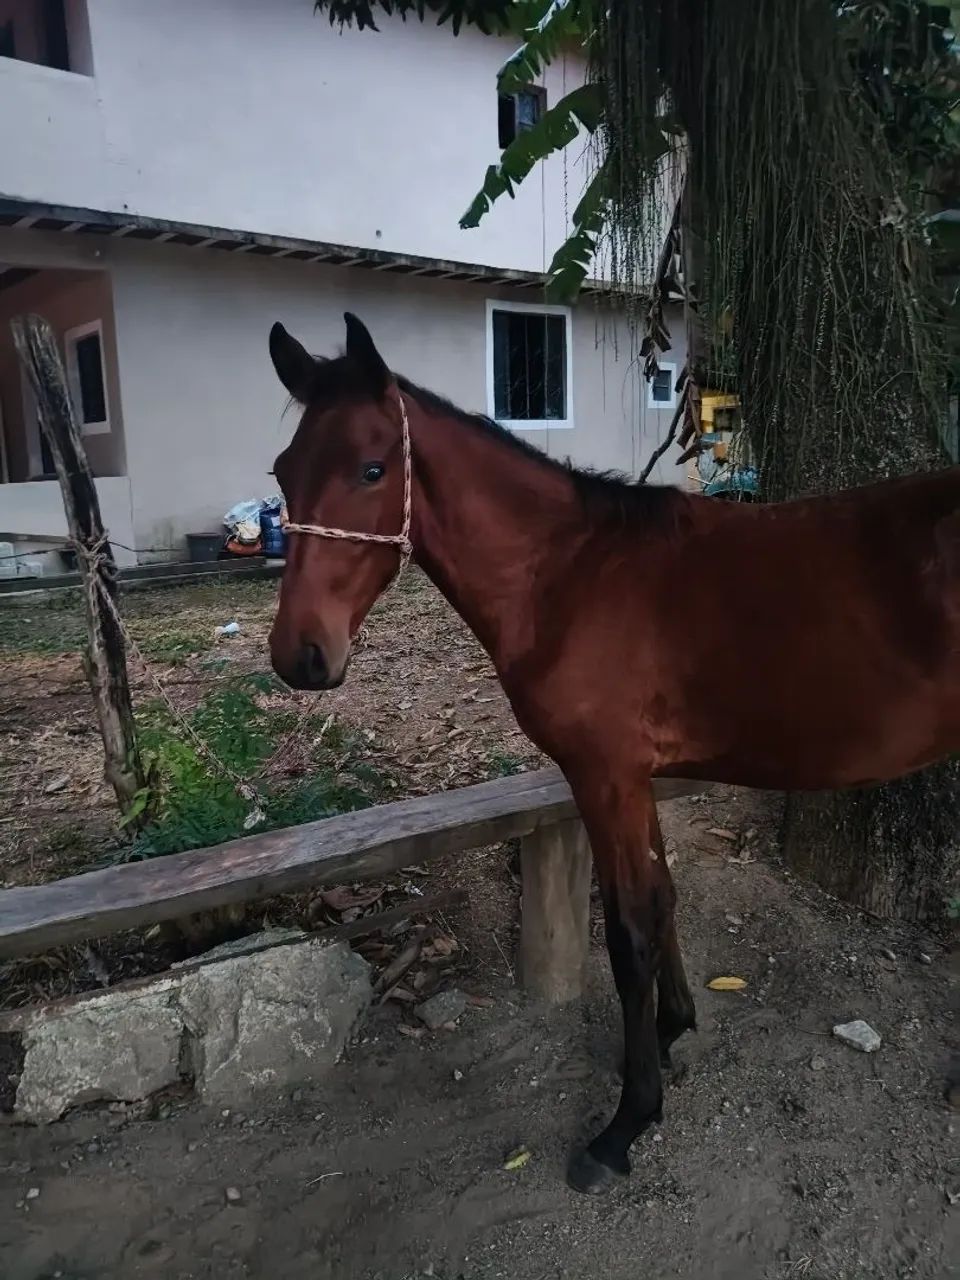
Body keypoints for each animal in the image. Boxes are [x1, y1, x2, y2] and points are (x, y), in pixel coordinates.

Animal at [267, 311, 960, 1195]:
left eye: (371, 468)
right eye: (284, 472)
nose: (301, 655)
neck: (568, 573)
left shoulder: (604, 777)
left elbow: (628, 934)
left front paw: (627, 1120)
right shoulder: (637, 779)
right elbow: (661, 905)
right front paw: (673, 1032)